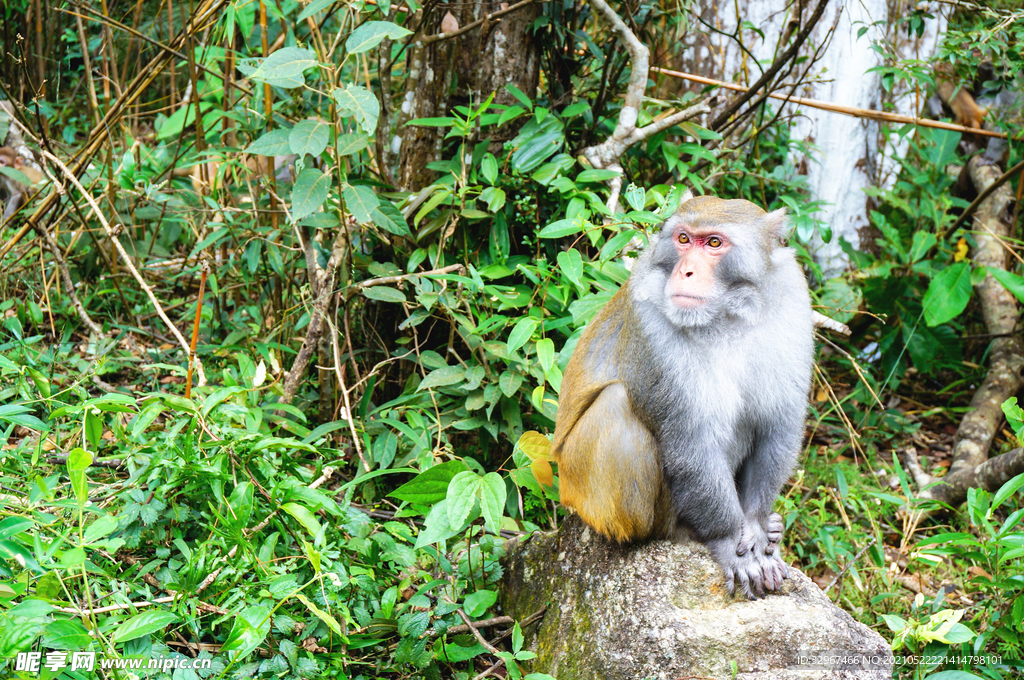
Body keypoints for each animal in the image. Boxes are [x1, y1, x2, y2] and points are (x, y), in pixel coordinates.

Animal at [552, 193, 815, 598]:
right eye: (683, 240)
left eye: (714, 243)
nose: (686, 272)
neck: (727, 316)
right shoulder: (651, 325)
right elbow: (692, 444)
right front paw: (729, 541)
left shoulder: (792, 303)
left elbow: (777, 427)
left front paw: (755, 527)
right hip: (582, 489)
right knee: (617, 405)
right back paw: (676, 531)